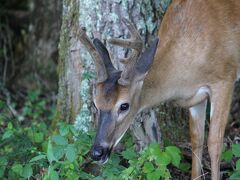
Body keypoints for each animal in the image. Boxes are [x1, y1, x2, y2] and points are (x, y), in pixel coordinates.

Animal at [77, 0, 240, 179]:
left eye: (124, 105)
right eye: (95, 103)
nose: (97, 153)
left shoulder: (225, 78)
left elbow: (214, 142)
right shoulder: (196, 96)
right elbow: (197, 139)